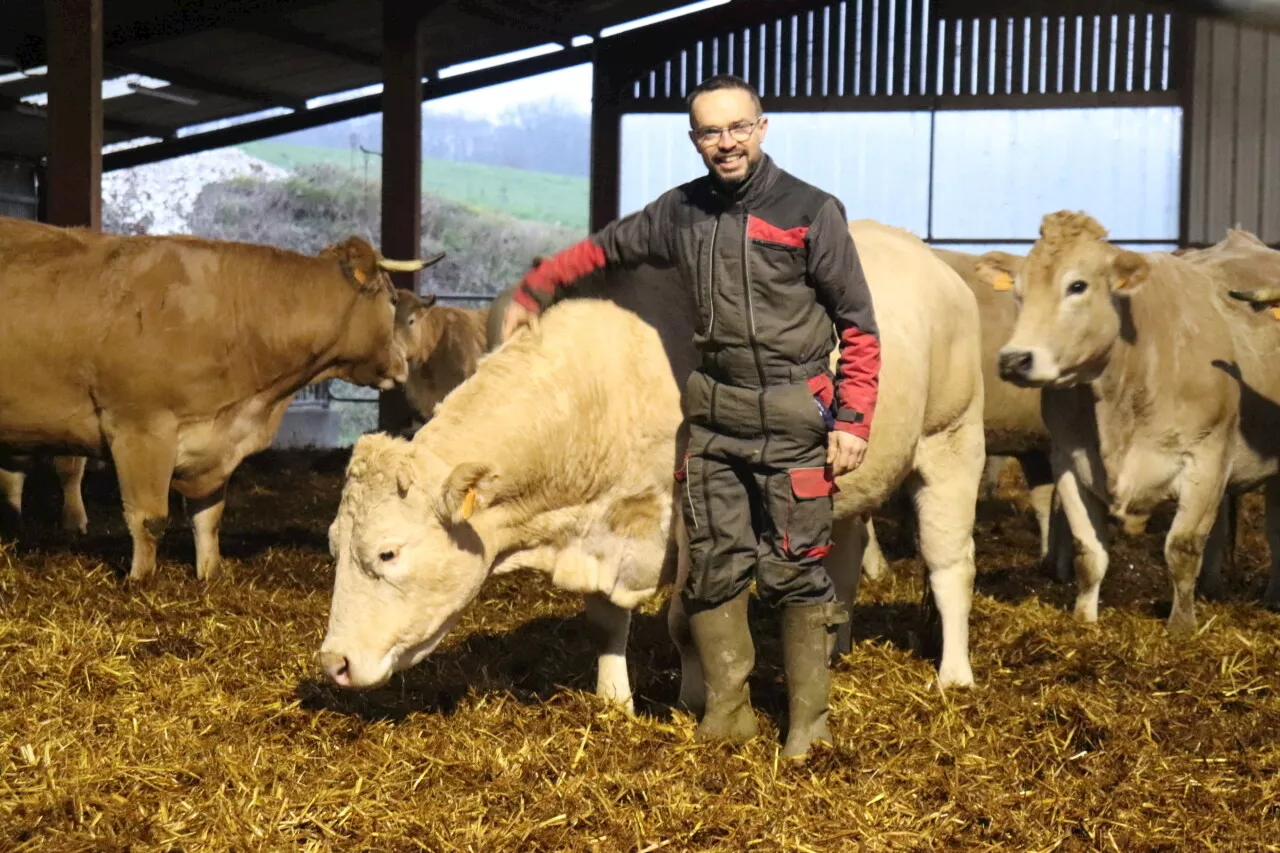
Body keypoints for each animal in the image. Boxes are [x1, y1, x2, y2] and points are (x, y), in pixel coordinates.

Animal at [0, 216, 435, 581]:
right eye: (392, 301)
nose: (402, 365)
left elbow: (208, 517)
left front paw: (210, 572)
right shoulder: (139, 430)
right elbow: (148, 518)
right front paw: (140, 579)